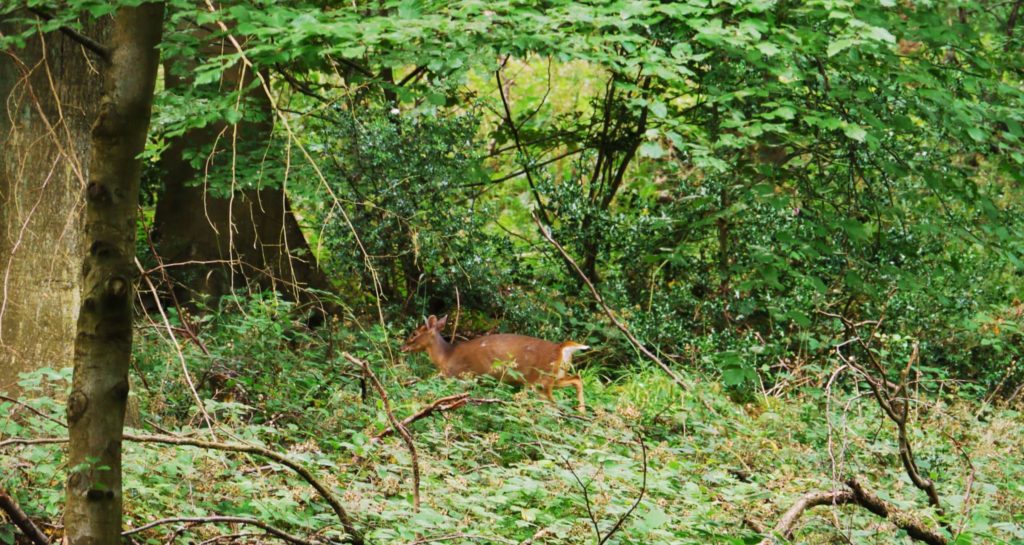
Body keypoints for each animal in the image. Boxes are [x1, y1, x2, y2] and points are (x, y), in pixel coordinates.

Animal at [401, 315, 593, 413]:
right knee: (577, 379)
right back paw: (582, 412)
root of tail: (560, 348)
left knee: (554, 403)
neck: (446, 356)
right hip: (554, 377)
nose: (403, 347)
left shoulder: (458, 376)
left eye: (414, 333)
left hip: (539, 381)